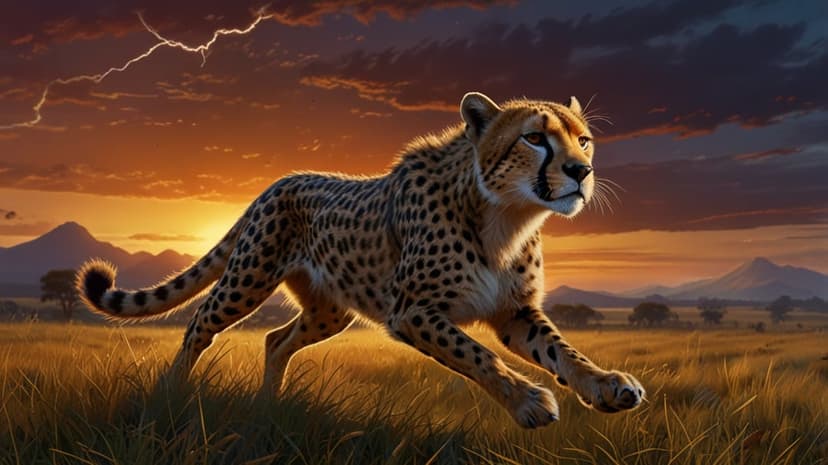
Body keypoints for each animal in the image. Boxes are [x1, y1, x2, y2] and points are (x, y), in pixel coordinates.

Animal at [77, 92, 644, 428]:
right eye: (534, 137)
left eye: (584, 139)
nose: (581, 171)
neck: (507, 214)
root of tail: (279, 180)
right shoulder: (412, 311)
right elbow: (475, 354)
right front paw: (528, 400)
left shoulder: (514, 313)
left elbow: (562, 350)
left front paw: (605, 386)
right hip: (249, 277)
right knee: (199, 322)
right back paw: (171, 393)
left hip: (330, 310)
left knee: (275, 338)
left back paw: (269, 407)